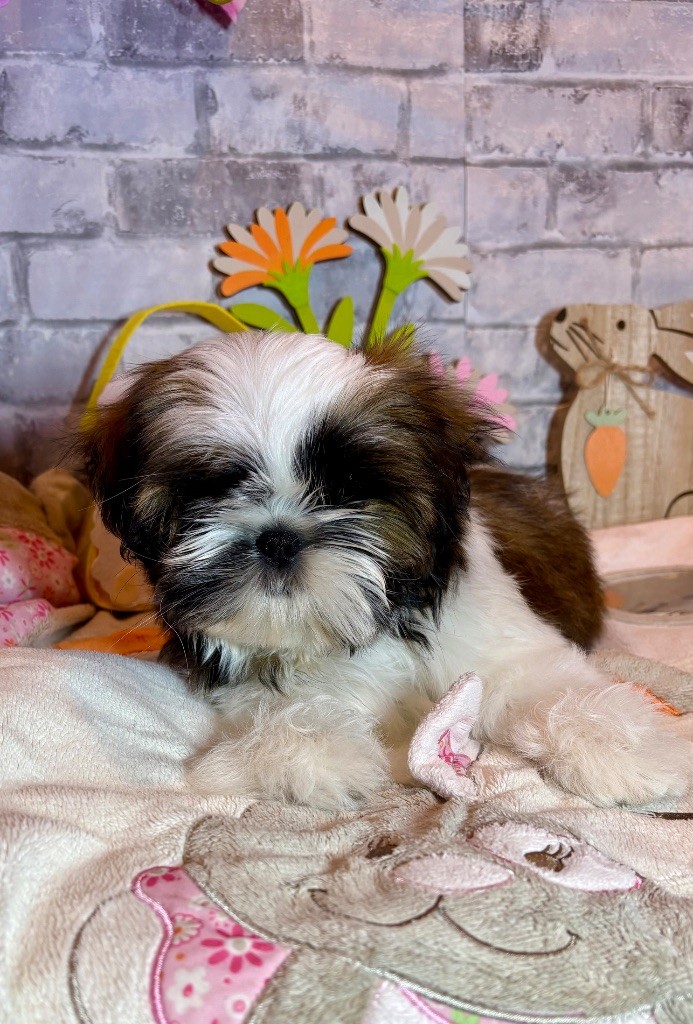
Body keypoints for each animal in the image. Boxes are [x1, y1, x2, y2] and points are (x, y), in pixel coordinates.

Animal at [81, 331, 689, 809]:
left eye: (347, 489)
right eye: (210, 492)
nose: (277, 537)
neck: (374, 623)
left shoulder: (503, 644)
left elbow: (547, 683)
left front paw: (628, 746)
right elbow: (283, 704)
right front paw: (310, 751)